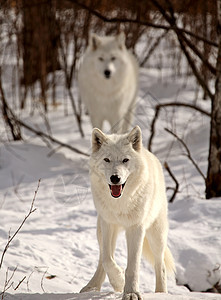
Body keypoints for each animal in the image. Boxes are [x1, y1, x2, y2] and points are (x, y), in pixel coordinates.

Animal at [80, 125, 175, 298]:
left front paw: (131, 293)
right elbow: (107, 259)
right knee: (102, 258)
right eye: (107, 160)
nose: (115, 178)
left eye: (125, 160)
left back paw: (161, 293)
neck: (120, 203)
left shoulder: (136, 228)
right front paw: (119, 282)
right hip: (100, 230)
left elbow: (133, 266)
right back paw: (92, 287)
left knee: (161, 265)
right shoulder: (108, 224)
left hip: (156, 235)